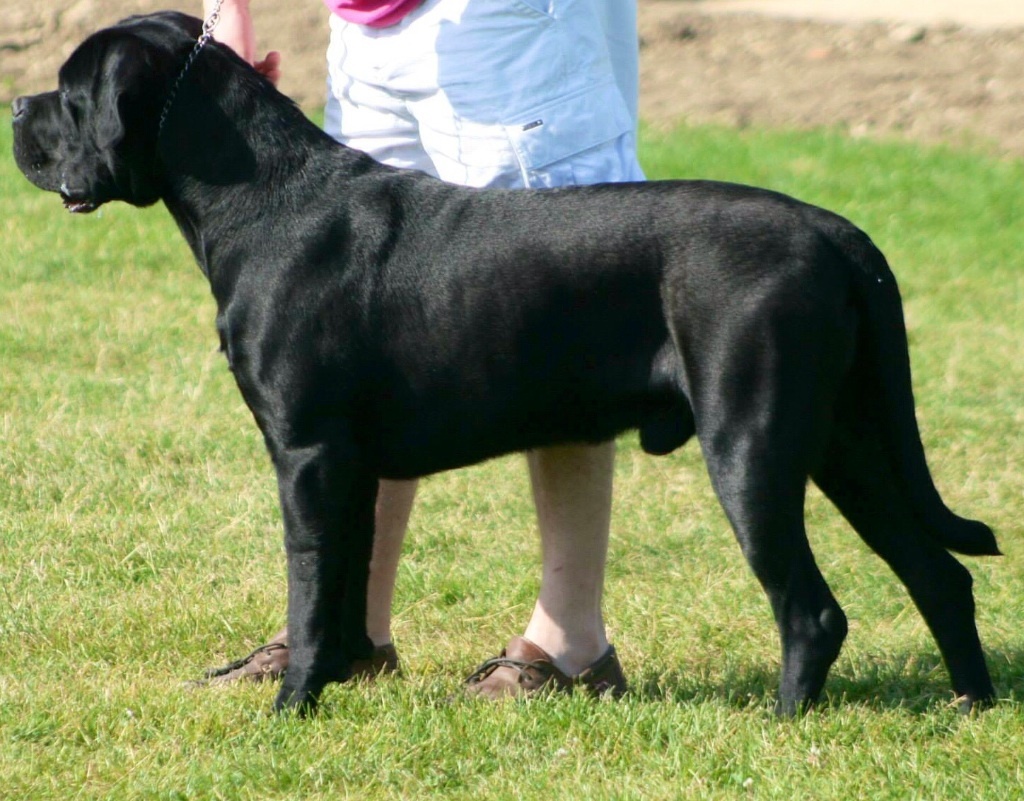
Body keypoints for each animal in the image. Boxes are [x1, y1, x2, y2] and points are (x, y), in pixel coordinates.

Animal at [9, 12, 999, 717]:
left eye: (70, 92)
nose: (15, 106)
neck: (259, 195)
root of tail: (836, 232)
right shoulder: (350, 464)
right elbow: (344, 582)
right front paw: (337, 680)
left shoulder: (307, 453)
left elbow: (308, 582)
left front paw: (291, 704)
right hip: (849, 440)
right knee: (940, 572)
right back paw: (973, 702)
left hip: (752, 443)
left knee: (812, 608)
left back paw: (785, 721)